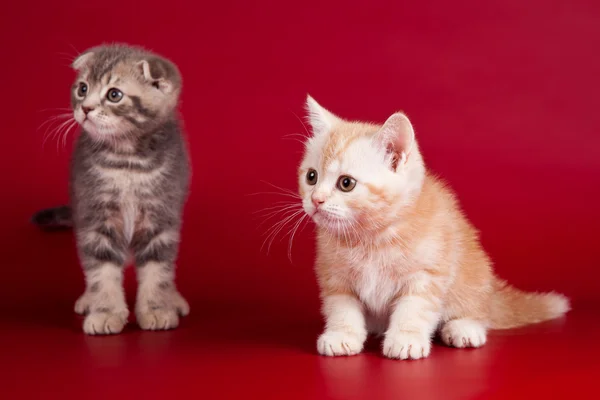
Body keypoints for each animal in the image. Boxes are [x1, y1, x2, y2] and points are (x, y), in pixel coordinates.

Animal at [32, 44, 190, 334]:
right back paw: (88, 300)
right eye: (82, 88)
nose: (85, 108)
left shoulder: (160, 216)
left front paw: (157, 308)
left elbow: (158, 269)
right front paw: (105, 311)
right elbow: (101, 271)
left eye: (114, 95)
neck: (126, 161)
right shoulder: (95, 215)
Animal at [298, 96, 568, 360]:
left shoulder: (427, 272)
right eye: (311, 177)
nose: (316, 200)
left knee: (477, 309)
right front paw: (341, 335)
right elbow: (341, 307)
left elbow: (414, 307)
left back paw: (464, 328)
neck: (370, 236)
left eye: (346, 183)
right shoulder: (334, 275)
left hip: (470, 271)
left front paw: (406, 339)